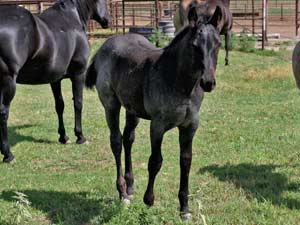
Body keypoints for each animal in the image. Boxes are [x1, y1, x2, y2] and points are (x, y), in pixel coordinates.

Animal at [0, 0, 110, 163]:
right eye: (104, 1)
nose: (107, 21)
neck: (72, 19)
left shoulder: (55, 79)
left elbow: (60, 106)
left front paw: (63, 137)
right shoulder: (79, 74)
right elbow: (78, 103)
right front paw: (80, 137)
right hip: (8, 81)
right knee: (3, 113)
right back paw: (8, 154)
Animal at [85, 5, 221, 220]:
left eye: (218, 44)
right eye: (194, 45)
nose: (208, 82)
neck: (180, 84)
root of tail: (104, 47)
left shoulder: (190, 126)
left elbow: (186, 161)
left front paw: (184, 209)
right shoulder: (158, 125)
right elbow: (155, 161)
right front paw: (149, 199)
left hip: (132, 109)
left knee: (128, 139)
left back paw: (130, 186)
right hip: (111, 104)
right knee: (116, 142)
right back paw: (122, 192)